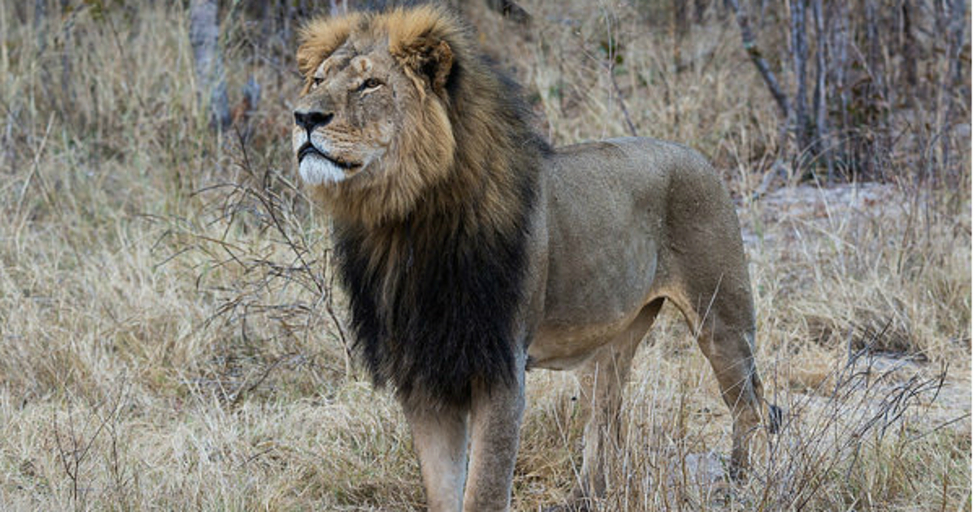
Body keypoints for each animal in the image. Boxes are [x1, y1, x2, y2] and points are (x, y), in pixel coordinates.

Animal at [292, 6, 780, 511]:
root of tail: (697, 156)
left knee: (752, 405)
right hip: (609, 340)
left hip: (721, 318)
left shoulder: (500, 369)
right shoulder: (423, 375)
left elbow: (484, 489)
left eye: (371, 84)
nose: (304, 116)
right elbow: (443, 488)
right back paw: (584, 498)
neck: (403, 224)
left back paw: (740, 485)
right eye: (317, 80)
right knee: (604, 418)